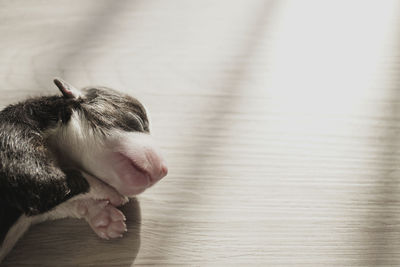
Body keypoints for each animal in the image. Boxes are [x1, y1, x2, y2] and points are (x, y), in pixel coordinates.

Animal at [0, 79, 167, 262]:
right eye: (137, 120)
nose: (164, 170)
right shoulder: (20, 155)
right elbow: (77, 180)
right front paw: (110, 194)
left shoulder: (37, 204)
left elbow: (58, 203)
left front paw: (101, 215)